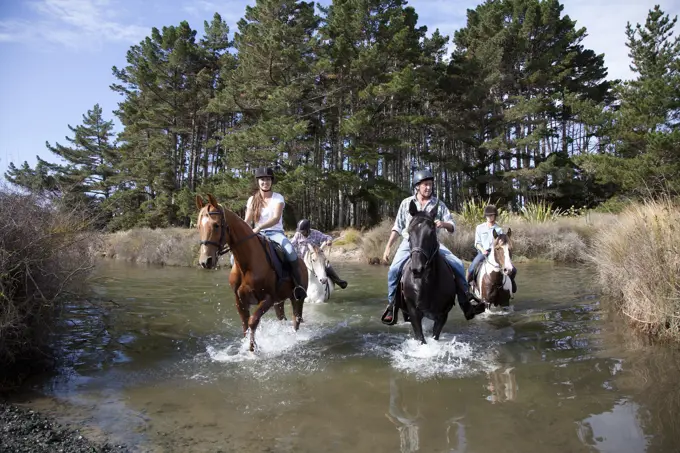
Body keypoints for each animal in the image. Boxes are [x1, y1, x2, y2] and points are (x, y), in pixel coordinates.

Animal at [195, 192, 310, 352]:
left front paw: (252, 349)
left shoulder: (267, 299)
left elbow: (252, 322)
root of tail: (303, 262)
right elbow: (245, 325)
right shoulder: (240, 300)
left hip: (296, 299)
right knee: (283, 318)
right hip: (279, 302)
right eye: (199, 226)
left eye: (216, 225)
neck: (247, 263)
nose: (205, 261)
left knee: (296, 319)